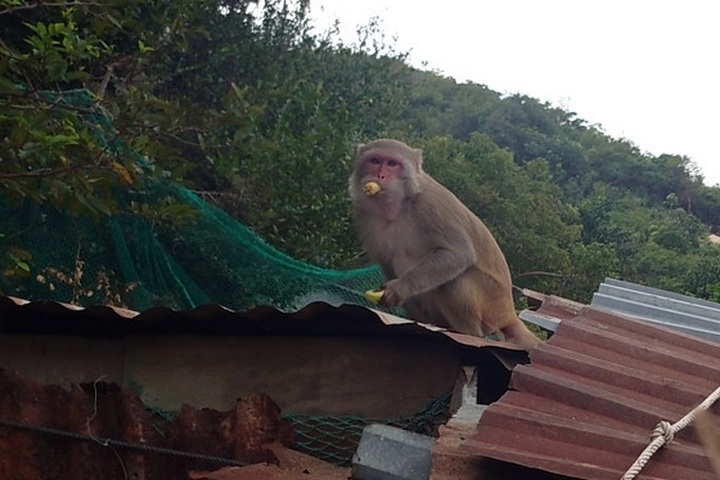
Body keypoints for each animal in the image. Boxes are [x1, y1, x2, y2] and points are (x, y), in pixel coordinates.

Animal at [348, 138, 542, 350]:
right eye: (375, 161)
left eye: (392, 163)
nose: (380, 175)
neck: (398, 207)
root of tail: (508, 312)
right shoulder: (363, 214)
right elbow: (387, 264)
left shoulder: (430, 204)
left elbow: (458, 253)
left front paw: (400, 287)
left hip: (491, 305)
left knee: (455, 280)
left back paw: (469, 333)